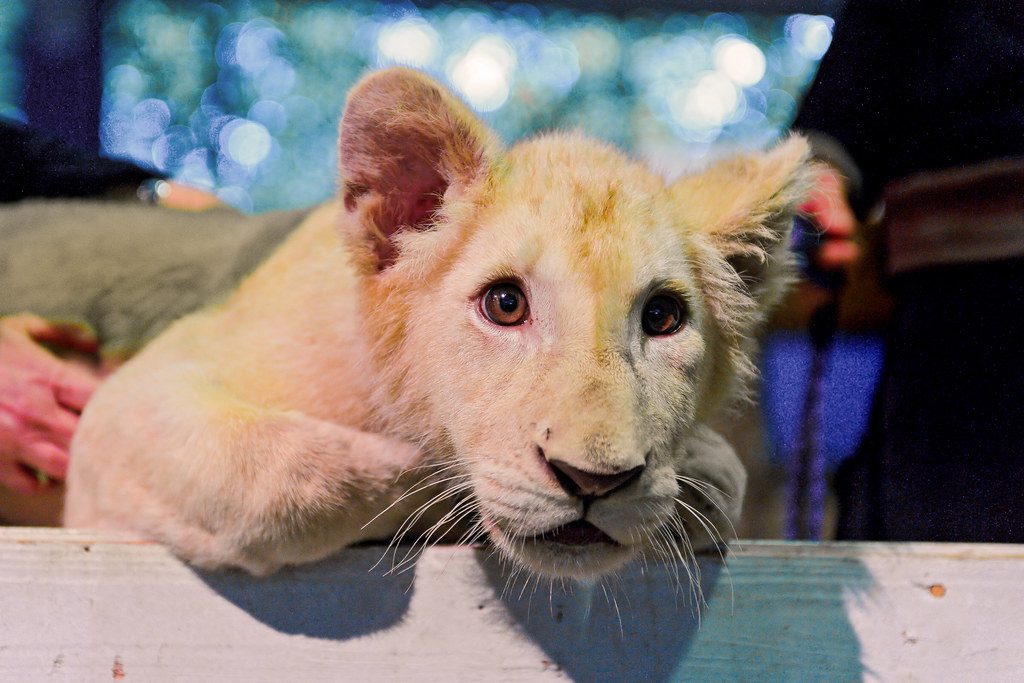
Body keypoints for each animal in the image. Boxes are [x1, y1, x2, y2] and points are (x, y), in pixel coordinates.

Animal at [63, 68, 810, 580]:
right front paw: (410, 479)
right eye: (505, 304)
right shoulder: (137, 399)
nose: (594, 480)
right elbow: (276, 480)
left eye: (662, 317)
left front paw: (693, 482)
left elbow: (725, 480)